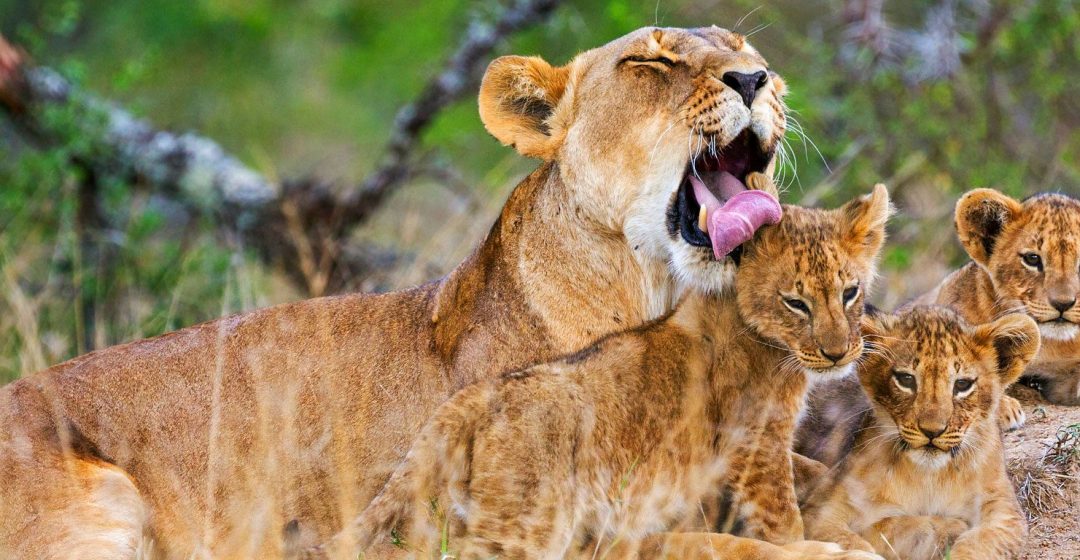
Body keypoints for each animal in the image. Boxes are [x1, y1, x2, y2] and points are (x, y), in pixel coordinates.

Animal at [307, 181, 892, 560]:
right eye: (796, 303)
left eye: (850, 292)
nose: (839, 354)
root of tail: (476, 395)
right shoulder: (757, 443)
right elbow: (782, 522)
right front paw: (821, 546)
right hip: (529, 523)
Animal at [798, 306, 1038, 560]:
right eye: (906, 379)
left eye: (962, 385)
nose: (932, 431)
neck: (930, 476)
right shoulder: (822, 508)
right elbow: (853, 540)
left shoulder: (1003, 510)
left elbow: (978, 543)